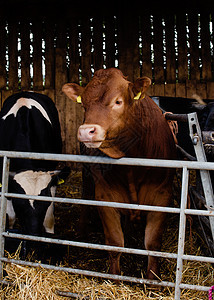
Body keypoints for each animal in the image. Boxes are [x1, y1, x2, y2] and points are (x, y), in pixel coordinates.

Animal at [62, 69, 176, 280]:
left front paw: (153, 280)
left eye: (117, 101)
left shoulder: (162, 196)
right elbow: (115, 243)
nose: (86, 131)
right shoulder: (105, 196)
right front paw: (115, 279)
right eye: (84, 104)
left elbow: (153, 243)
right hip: (87, 176)